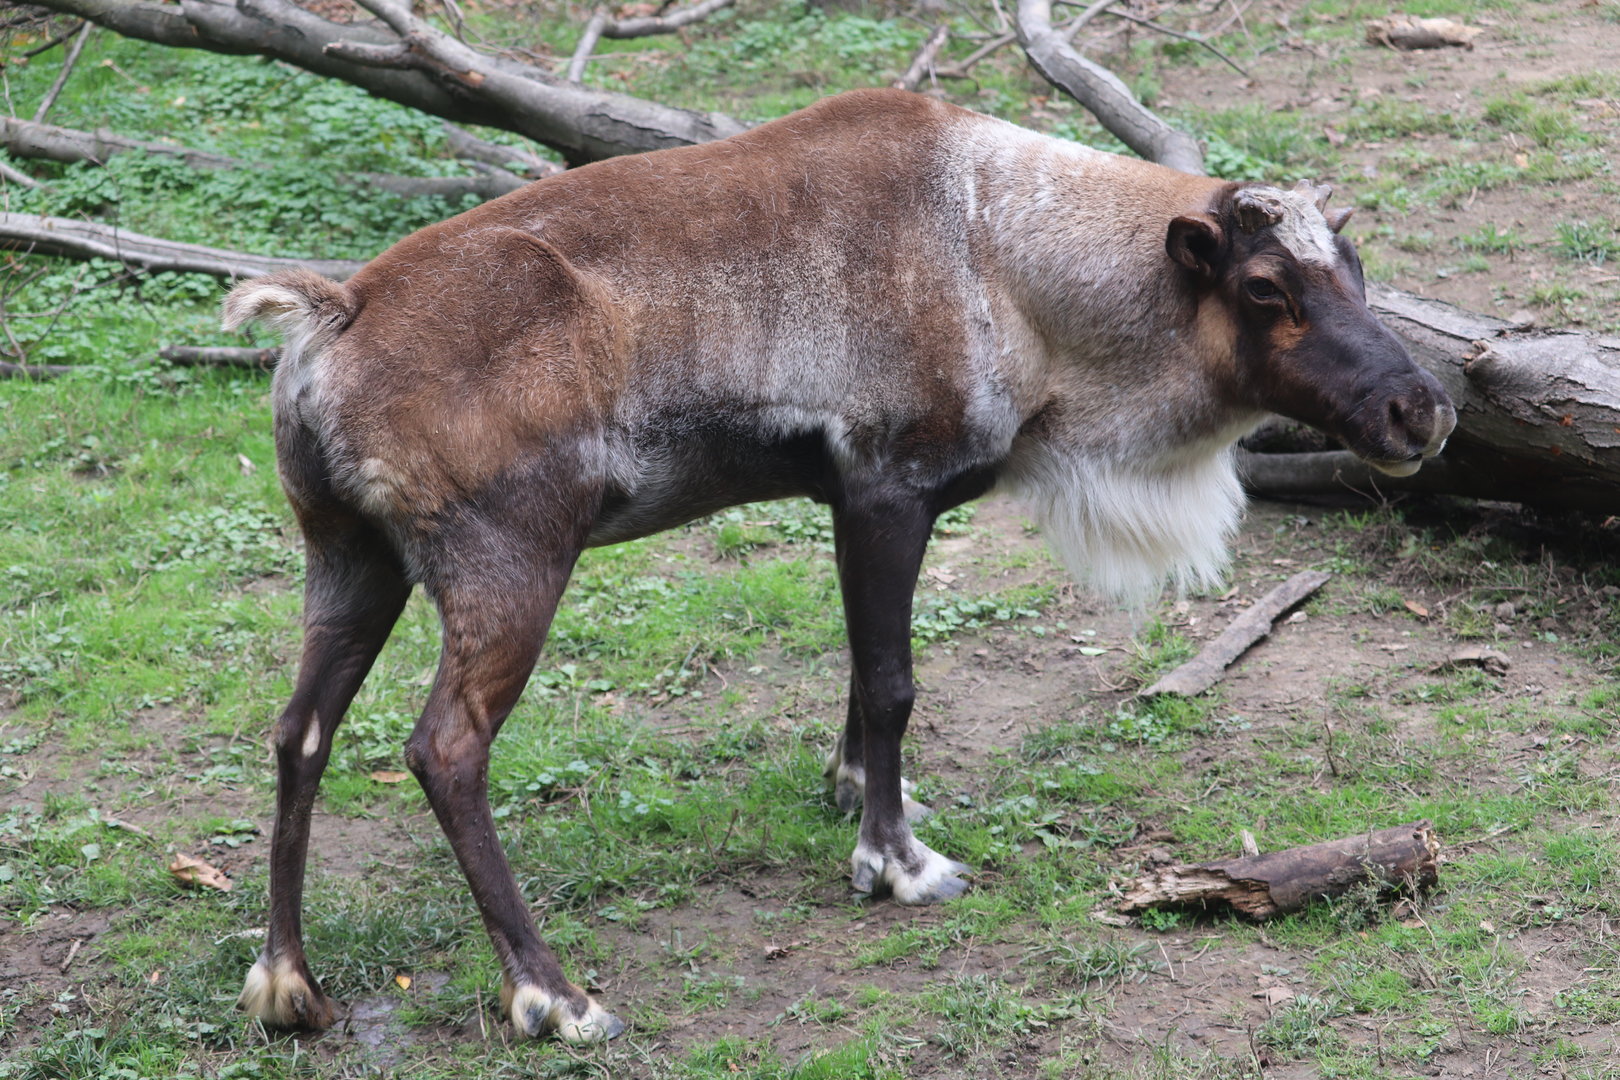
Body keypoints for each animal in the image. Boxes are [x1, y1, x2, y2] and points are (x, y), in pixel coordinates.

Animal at [222, 88, 1454, 1043]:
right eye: (1265, 289)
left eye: (1355, 267)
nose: (1423, 407)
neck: (1013, 269)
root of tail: (330, 316)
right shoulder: (887, 488)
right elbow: (897, 682)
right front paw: (898, 862)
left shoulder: (850, 503)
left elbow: (864, 676)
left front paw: (855, 790)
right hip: (509, 564)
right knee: (444, 749)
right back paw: (555, 996)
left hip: (350, 558)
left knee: (298, 731)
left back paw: (288, 984)